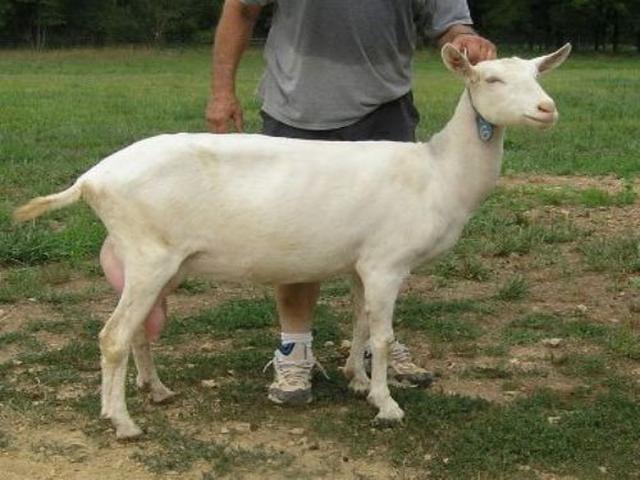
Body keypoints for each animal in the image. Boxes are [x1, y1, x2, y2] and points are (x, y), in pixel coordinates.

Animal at [14, 43, 571, 439]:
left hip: (160, 262)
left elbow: (361, 325)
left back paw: (157, 390)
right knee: (112, 336)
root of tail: (91, 180)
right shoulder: (387, 262)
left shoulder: (361, 263)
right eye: (490, 78)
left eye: (538, 76)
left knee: (137, 331)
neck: (436, 173)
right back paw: (124, 423)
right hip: (149, 253)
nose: (547, 109)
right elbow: (383, 336)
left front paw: (359, 382)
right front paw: (387, 406)